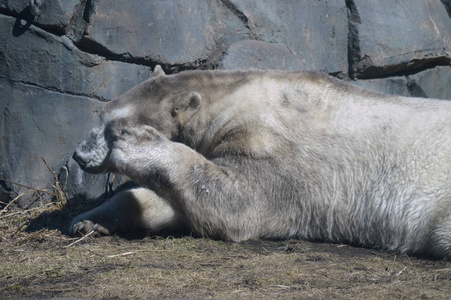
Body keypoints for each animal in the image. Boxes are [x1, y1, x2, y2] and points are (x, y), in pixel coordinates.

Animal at [72, 65, 450, 258]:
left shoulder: (276, 149)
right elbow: (175, 202)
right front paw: (89, 220)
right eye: (101, 113)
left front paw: (137, 145)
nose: (78, 154)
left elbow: (236, 201)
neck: (235, 97)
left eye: (111, 128)